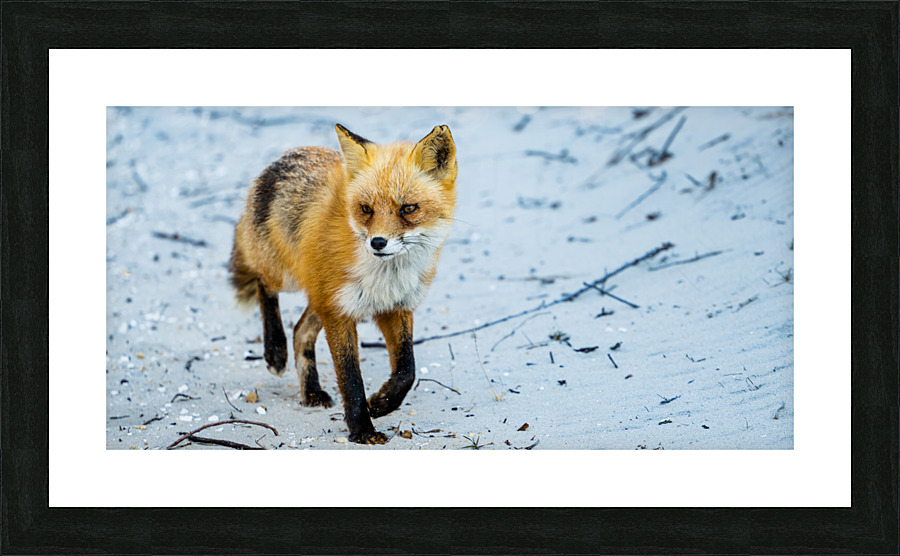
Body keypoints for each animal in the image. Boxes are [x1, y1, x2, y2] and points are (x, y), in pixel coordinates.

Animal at [229, 123, 457, 444]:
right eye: (366, 209)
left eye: (408, 209)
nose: (378, 242)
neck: (386, 276)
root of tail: (287, 155)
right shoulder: (339, 312)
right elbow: (351, 378)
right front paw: (362, 429)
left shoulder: (395, 307)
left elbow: (407, 370)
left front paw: (382, 403)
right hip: (289, 277)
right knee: (264, 284)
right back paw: (275, 350)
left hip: (320, 295)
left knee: (300, 331)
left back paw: (311, 392)